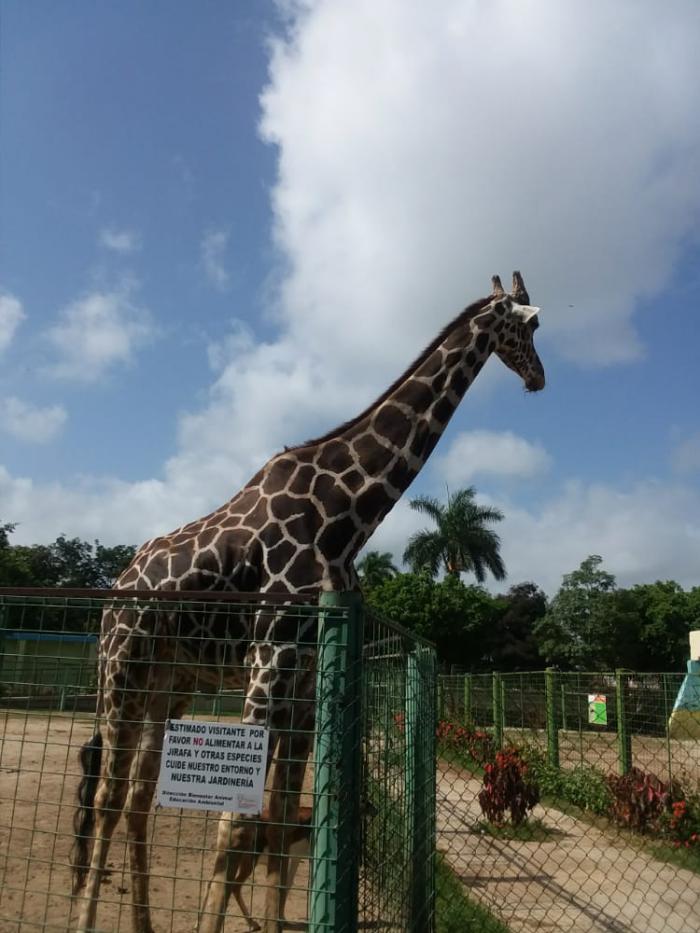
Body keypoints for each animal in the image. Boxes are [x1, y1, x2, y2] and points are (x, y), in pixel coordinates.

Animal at [71, 272, 545, 933]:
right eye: (532, 326)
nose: (539, 378)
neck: (345, 517)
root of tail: (115, 591)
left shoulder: (305, 673)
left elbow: (279, 826)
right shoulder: (269, 660)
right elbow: (235, 825)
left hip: (170, 681)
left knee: (137, 800)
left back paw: (141, 923)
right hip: (122, 670)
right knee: (107, 798)